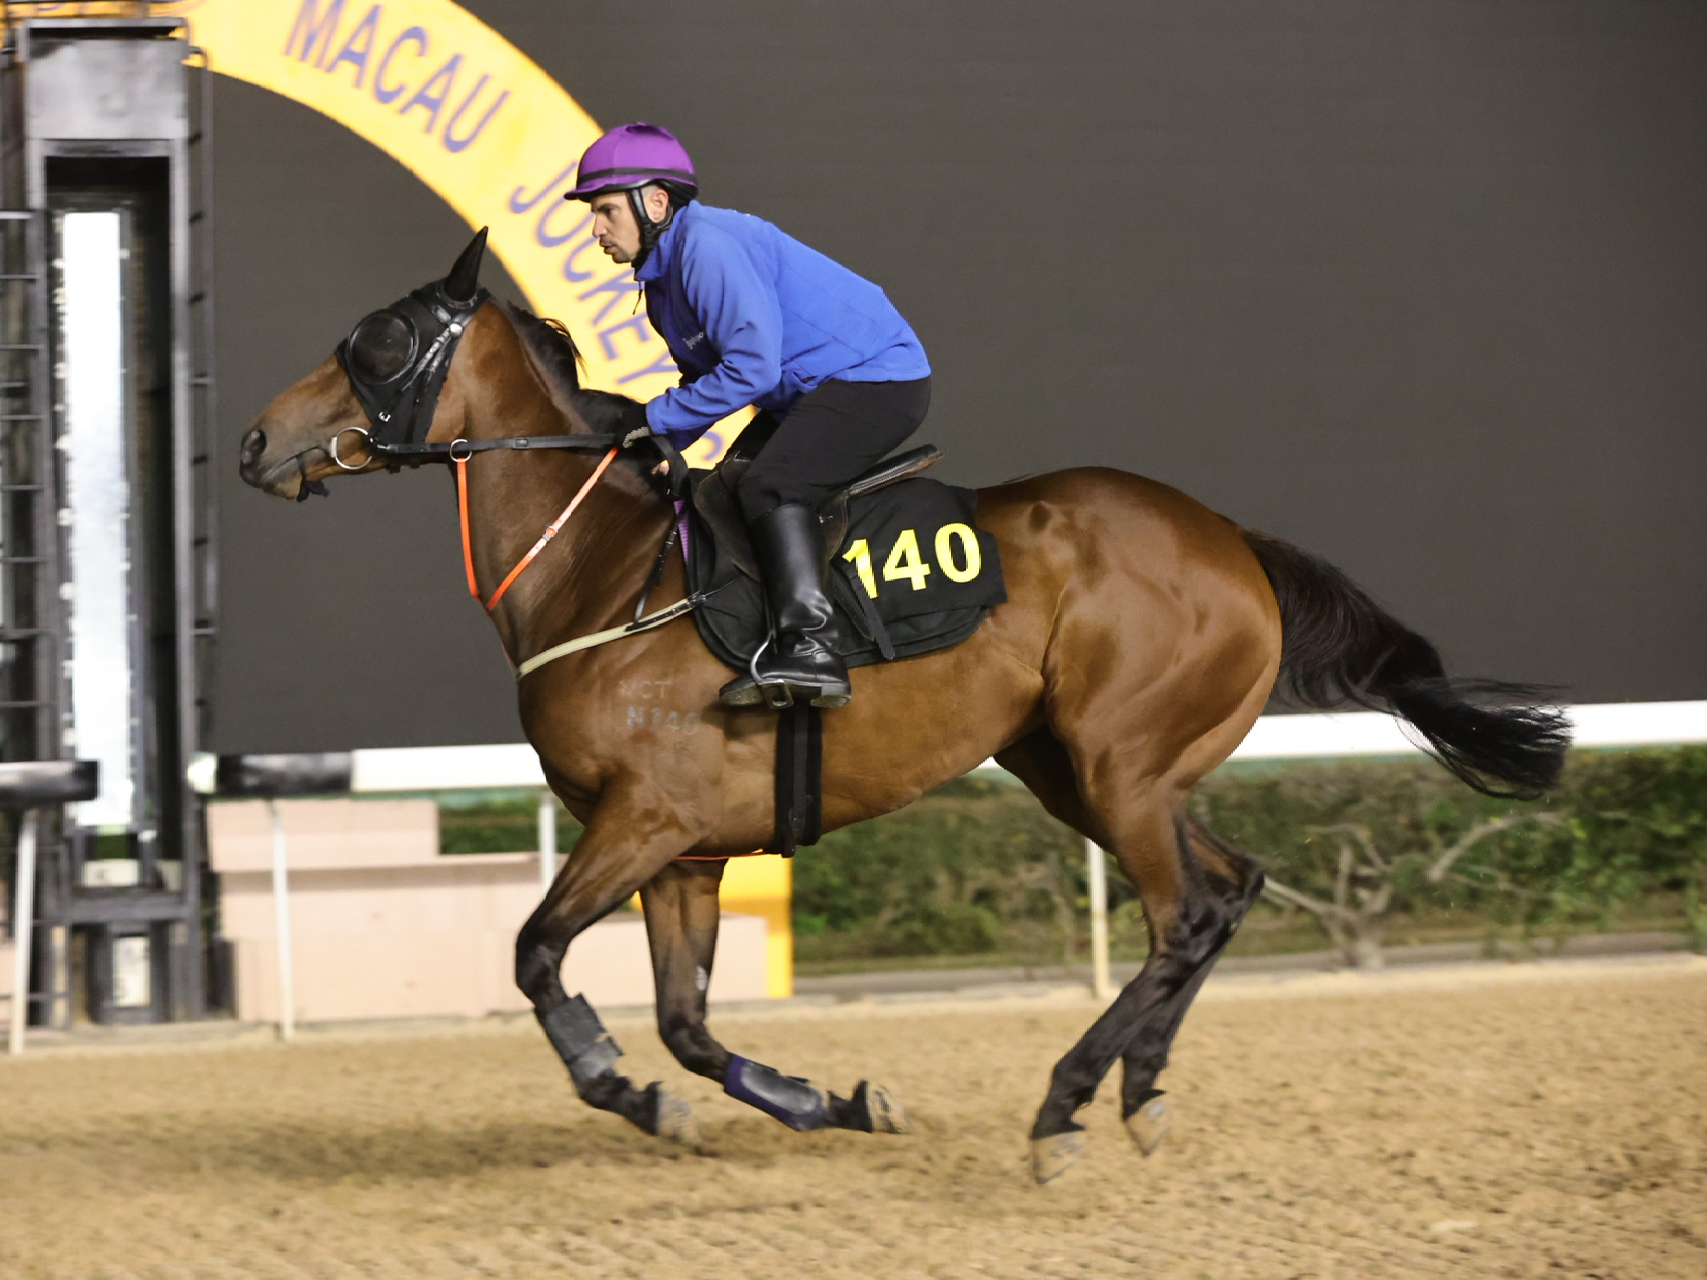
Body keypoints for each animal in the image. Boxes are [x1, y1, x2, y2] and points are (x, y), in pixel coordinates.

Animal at [233, 230, 1563, 1181]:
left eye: (381, 340)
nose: (253, 442)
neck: (604, 572)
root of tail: (1231, 538)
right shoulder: (686, 851)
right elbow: (687, 1023)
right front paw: (830, 1101)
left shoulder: (643, 820)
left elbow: (538, 954)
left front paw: (621, 1082)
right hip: (1084, 768)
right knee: (1228, 892)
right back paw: (1142, 1096)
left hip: (1121, 764)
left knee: (1182, 915)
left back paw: (1064, 1108)